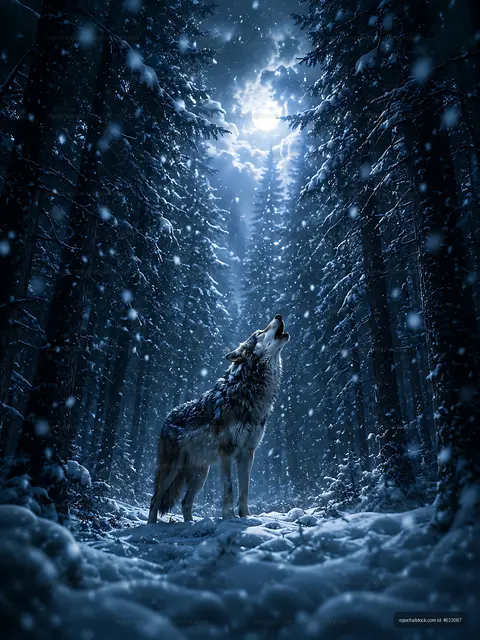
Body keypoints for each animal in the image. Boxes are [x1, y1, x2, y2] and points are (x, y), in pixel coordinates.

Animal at [147, 314, 289, 523]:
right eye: (259, 333)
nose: (278, 316)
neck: (248, 391)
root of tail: (167, 417)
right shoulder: (226, 452)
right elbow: (229, 489)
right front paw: (229, 517)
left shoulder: (247, 453)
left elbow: (245, 490)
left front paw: (246, 517)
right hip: (172, 469)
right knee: (155, 498)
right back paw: (151, 525)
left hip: (201, 474)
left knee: (185, 502)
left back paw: (190, 524)